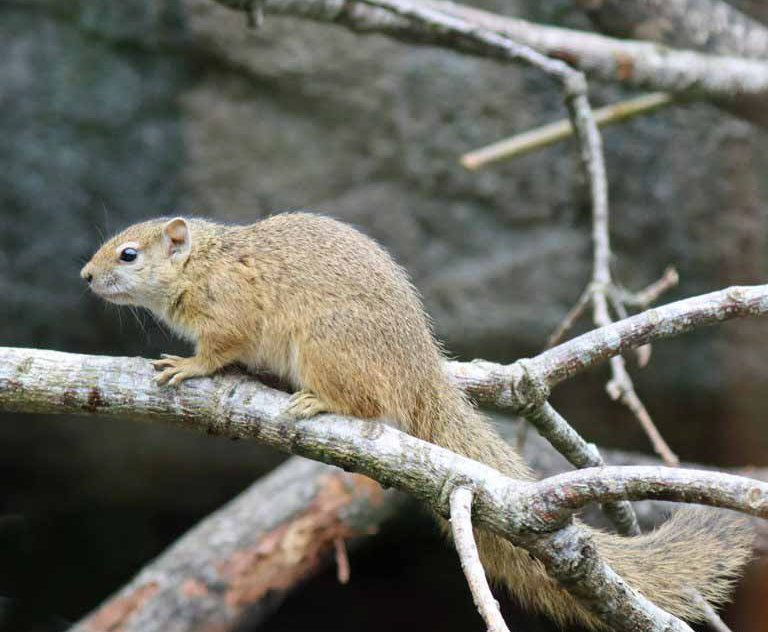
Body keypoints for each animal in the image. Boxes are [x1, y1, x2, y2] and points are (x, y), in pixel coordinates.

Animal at [81, 213, 752, 629]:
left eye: (129, 254)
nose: (85, 275)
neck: (205, 264)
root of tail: (423, 370)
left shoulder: (231, 314)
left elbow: (217, 351)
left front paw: (185, 366)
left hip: (327, 345)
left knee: (367, 403)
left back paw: (317, 402)